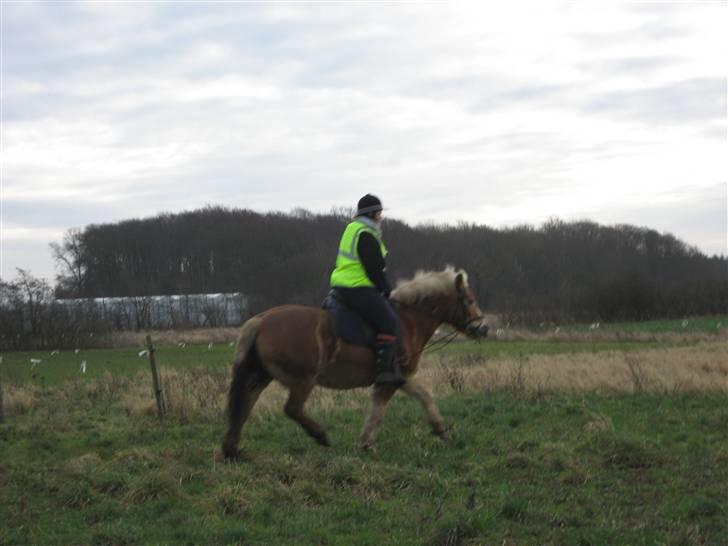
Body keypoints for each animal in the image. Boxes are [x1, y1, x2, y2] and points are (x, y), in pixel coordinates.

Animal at [219, 266, 486, 456]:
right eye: (470, 300)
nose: (483, 328)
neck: (409, 320)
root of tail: (260, 321)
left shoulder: (401, 377)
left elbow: (424, 397)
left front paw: (441, 430)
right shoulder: (392, 378)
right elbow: (379, 410)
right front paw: (367, 443)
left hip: (260, 375)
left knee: (244, 405)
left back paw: (232, 449)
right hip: (304, 379)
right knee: (291, 408)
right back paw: (319, 435)